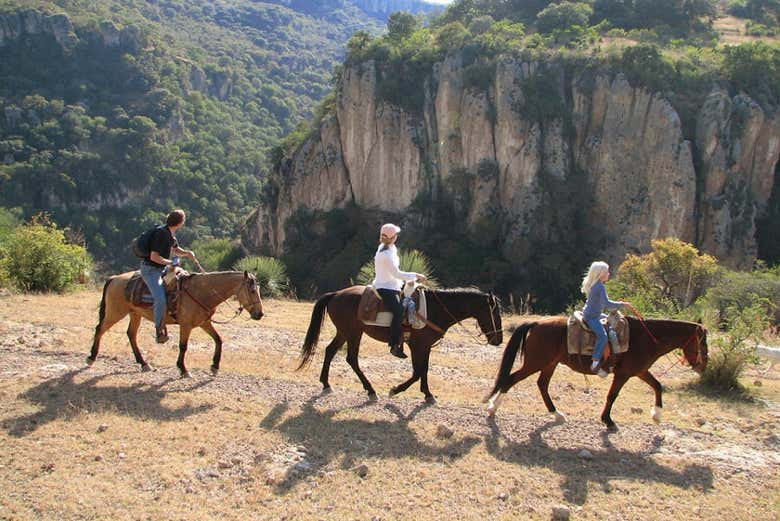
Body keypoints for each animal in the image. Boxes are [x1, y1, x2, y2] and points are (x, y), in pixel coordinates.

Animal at [87, 270, 266, 376]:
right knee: (100, 329)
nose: (260, 314)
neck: (201, 292)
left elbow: (218, 340)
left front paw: (215, 366)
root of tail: (114, 278)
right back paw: (91, 357)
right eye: (252, 290)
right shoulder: (186, 325)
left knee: (131, 335)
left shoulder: (204, 323)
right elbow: (183, 346)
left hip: (135, 314)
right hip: (115, 313)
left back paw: (144, 363)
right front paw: (183, 369)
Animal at [296, 284, 502, 402]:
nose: (498, 339)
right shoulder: (418, 345)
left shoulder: (424, 346)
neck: (435, 309)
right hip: (352, 332)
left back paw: (326, 383)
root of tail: (336, 294)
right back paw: (370, 390)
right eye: (494, 313)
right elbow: (418, 371)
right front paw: (396, 390)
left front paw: (427, 394)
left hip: (345, 332)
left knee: (331, 351)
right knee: (351, 358)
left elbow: (423, 369)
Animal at [482, 316, 708, 430]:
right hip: (536, 362)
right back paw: (493, 408)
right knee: (511, 379)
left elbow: (657, 386)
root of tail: (536, 323)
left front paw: (657, 415)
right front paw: (608, 420)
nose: (703, 365)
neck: (647, 337)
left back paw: (557, 414)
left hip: (549, 363)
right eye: (703, 342)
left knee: (542, 384)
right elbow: (612, 395)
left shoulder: (640, 371)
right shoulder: (624, 374)